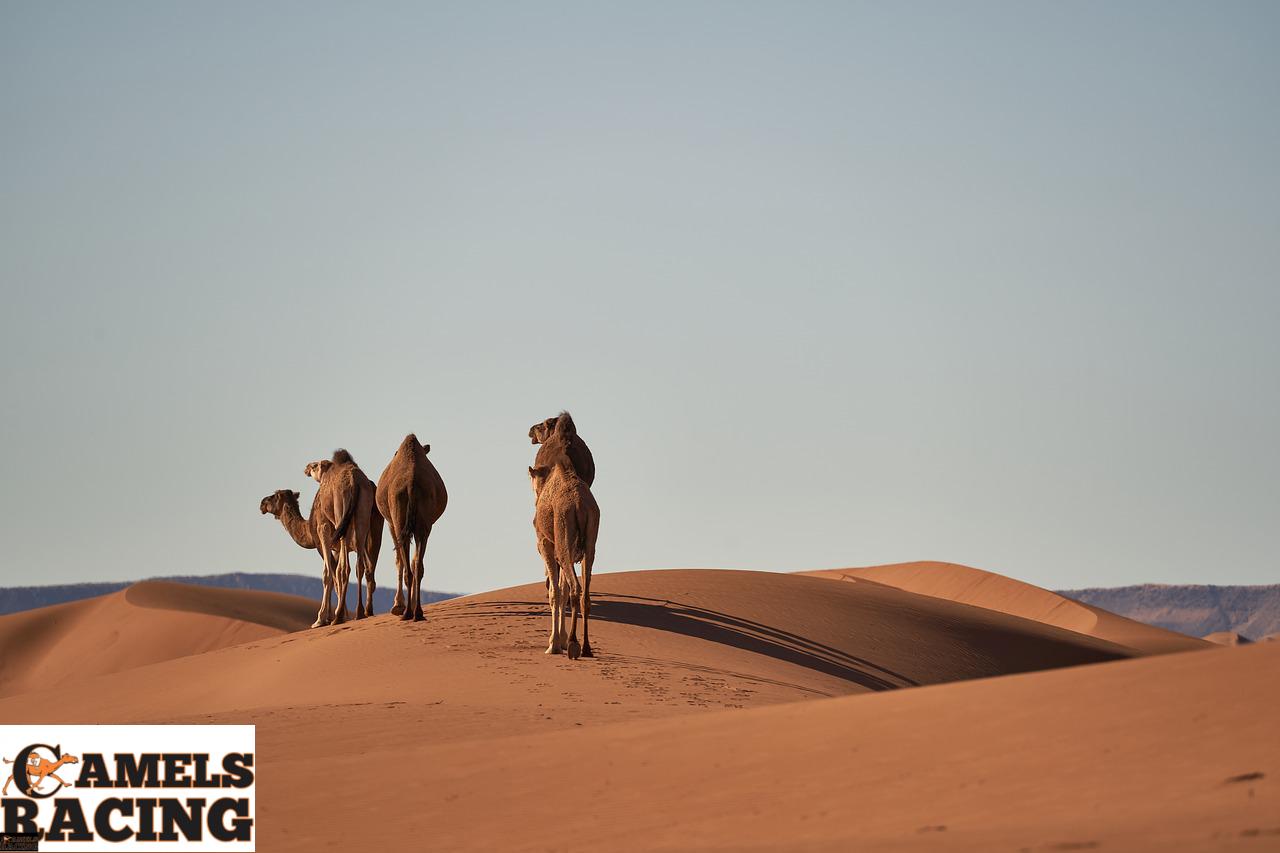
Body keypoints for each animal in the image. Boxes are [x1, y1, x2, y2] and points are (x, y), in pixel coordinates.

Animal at [373, 435, 448, 622]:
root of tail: (411, 484)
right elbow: (413, 562)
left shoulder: (391, 524)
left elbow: (399, 561)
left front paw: (397, 606)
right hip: (423, 526)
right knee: (417, 566)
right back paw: (417, 612)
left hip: (399, 520)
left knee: (407, 565)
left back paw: (407, 612)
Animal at [529, 425, 599, 655]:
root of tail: (579, 505)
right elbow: (562, 590)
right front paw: (558, 640)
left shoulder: (545, 544)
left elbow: (555, 592)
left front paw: (553, 644)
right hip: (590, 541)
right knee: (585, 593)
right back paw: (586, 647)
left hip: (562, 539)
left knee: (575, 589)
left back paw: (574, 644)